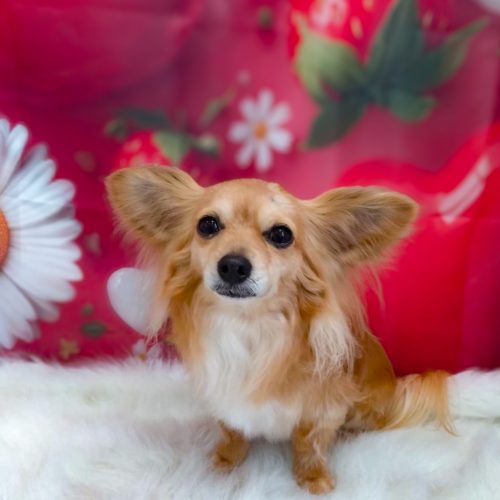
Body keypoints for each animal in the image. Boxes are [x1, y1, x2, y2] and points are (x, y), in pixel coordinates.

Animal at [106, 166, 450, 495]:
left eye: (281, 234)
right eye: (207, 225)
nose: (233, 265)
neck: (249, 325)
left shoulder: (324, 407)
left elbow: (311, 443)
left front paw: (314, 478)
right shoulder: (225, 396)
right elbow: (231, 430)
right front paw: (225, 461)